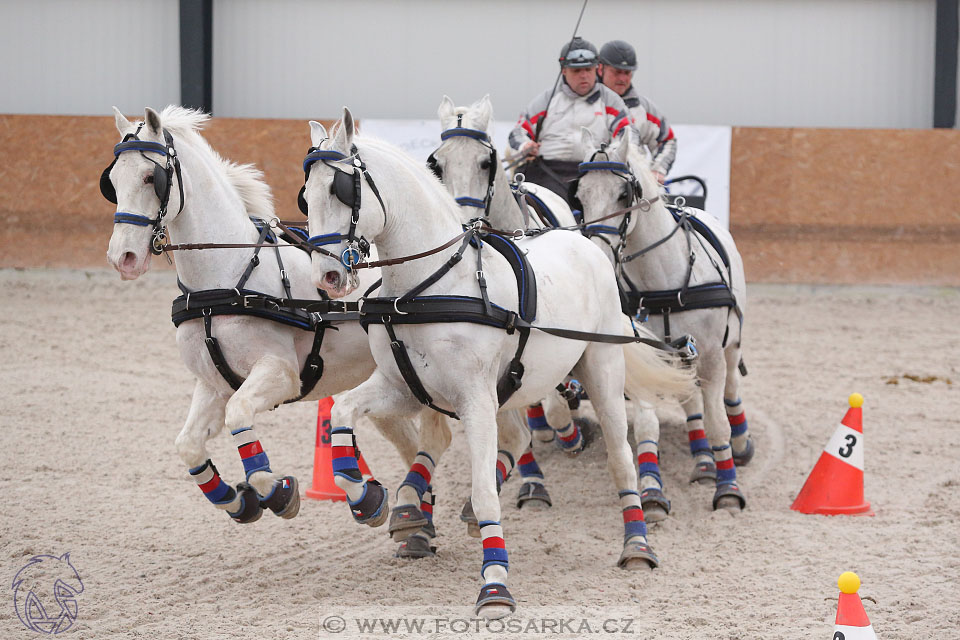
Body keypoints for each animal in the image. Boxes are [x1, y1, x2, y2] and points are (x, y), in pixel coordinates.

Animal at [105, 107, 420, 528]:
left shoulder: (280, 373)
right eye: (111, 181)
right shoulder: (214, 384)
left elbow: (239, 415)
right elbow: (188, 444)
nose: (122, 257)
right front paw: (238, 500)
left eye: (147, 177)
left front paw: (275, 489)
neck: (224, 281)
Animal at [300, 107, 688, 616]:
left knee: (621, 458)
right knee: (523, 435)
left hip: (602, 369)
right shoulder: (403, 388)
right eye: (305, 196)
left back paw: (637, 546)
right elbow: (343, 412)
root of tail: (586, 242)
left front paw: (495, 585)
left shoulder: (475, 400)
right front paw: (368, 498)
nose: (327, 276)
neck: (426, 287)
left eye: (341, 189)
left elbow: (485, 493)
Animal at [572, 129, 752, 516]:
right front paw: (653, 493)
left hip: (730, 345)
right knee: (689, 399)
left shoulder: (711, 354)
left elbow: (718, 424)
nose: (597, 251)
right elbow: (646, 427)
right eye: (579, 196)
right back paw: (703, 462)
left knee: (730, 392)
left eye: (623, 193)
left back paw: (739, 445)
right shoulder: (648, 358)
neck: (665, 283)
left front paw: (728, 490)